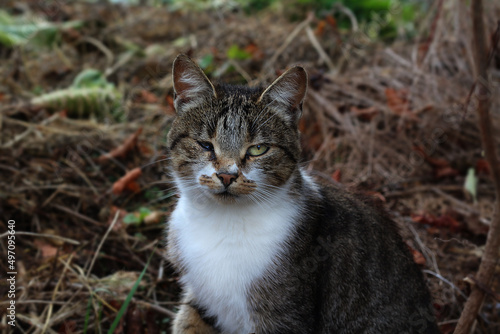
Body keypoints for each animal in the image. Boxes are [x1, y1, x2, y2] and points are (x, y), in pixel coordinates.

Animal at [165, 54, 438, 334]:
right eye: (205, 145)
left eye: (258, 149)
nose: (227, 176)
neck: (223, 222)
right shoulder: (201, 298)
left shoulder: (283, 317)